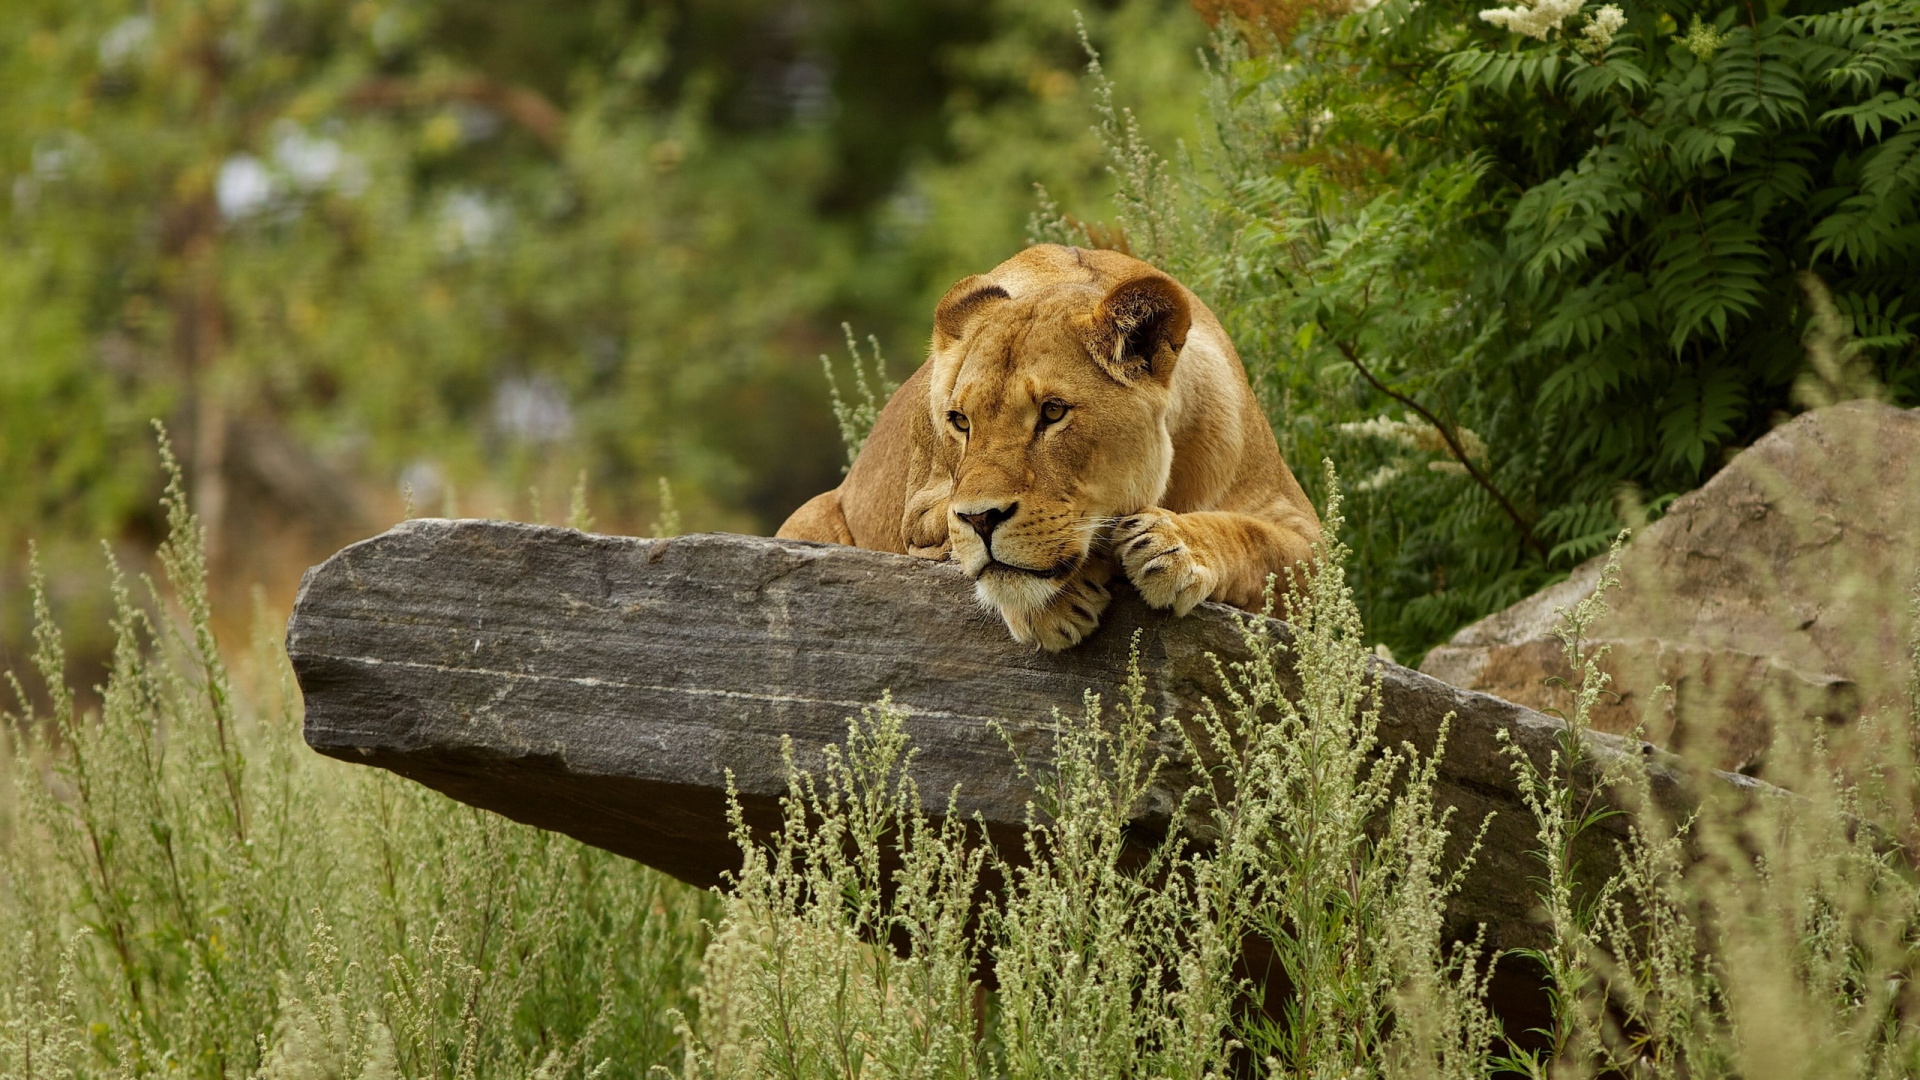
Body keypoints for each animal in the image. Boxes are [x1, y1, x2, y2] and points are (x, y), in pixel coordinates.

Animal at [777, 244, 1321, 651]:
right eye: (960, 421)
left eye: (1053, 412)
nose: (981, 520)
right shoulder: (920, 515)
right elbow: (969, 547)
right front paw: (1050, 604)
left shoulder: (1310, 538)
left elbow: (1255, 541)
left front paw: (1173, 546)